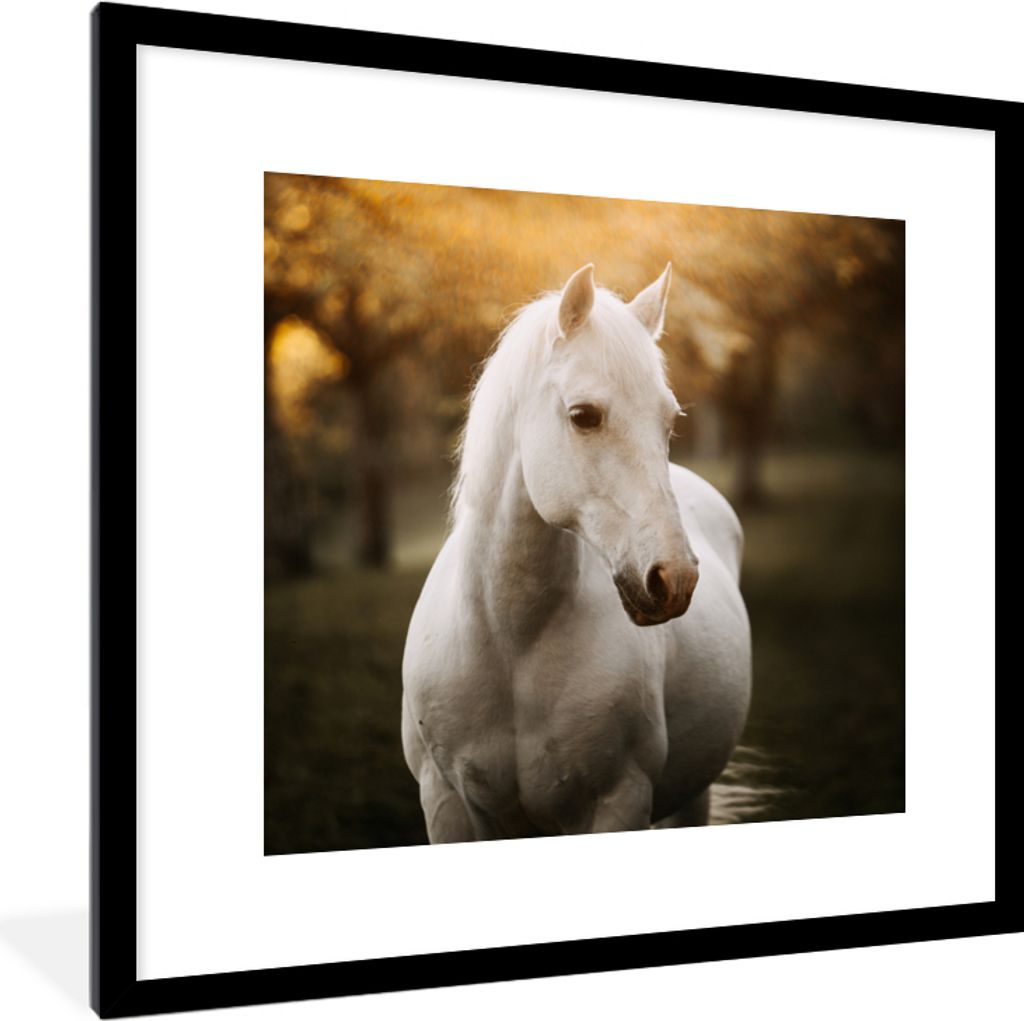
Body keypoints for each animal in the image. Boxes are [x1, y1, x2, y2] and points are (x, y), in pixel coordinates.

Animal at [401, 263, 751, 841]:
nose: (674, 578)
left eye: (669, 420)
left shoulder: (618, 803)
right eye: (584, 415)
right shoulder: (446, 801)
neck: (511, 641)